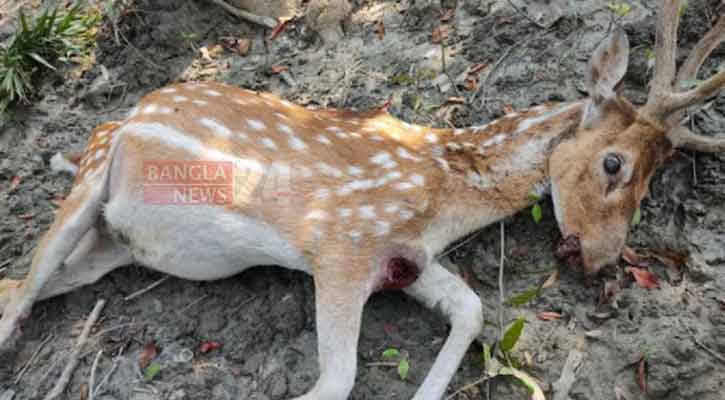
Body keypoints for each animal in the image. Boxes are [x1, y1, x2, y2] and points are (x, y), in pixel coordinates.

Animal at [1, 1, 724, 398]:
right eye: (613, 163)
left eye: (651, 184)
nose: (601, 260)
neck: (443, 191)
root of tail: (118, 117)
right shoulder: (342, 238)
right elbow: (336, 380)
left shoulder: (406, 257)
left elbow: (470, 312)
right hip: (94, 175)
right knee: (22, 286)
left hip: (109, 247)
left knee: (18, 286)